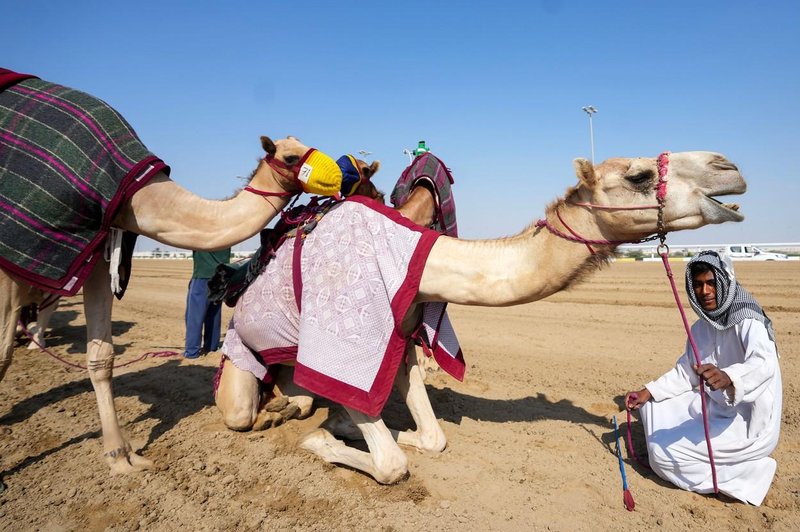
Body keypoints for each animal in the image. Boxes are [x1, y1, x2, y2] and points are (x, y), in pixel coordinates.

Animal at [216, 149, 748, 482]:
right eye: (638, 176)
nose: (729, 166)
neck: (421, 258)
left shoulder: (402, 335)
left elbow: (432, 438)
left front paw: (364, 428)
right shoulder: (347, 345)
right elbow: (389, 463)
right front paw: (323, 441)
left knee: (298, 392)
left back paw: (292, 405)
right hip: (238, 354)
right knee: (243, 408)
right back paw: (276, 411)